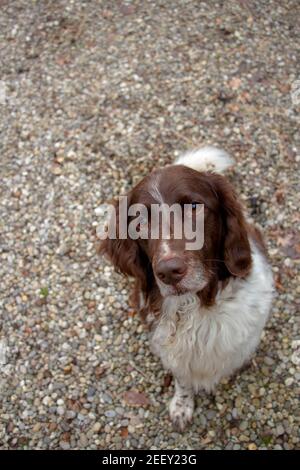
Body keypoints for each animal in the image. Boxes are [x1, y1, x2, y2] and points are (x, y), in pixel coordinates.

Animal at [99, 147, 274, 430]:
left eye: (194, 207)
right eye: (139, 222)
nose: (169, 272)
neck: (198, 305)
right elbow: (183, 379)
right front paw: (182, 405)